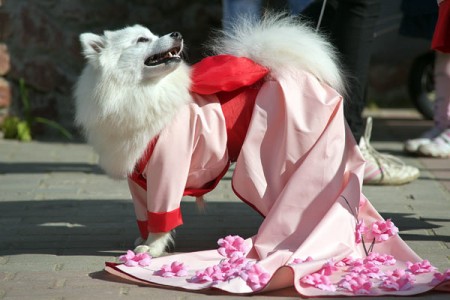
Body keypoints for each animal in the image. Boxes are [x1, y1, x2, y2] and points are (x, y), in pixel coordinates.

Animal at [74, 14, 344, 258]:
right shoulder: (138, 178)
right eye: (142, 39)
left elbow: (161, 215)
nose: (176, 34)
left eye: (151, 34)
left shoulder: (166, 168)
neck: (141, 92)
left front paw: (152, 248)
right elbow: (145, 214)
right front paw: (144, 238)